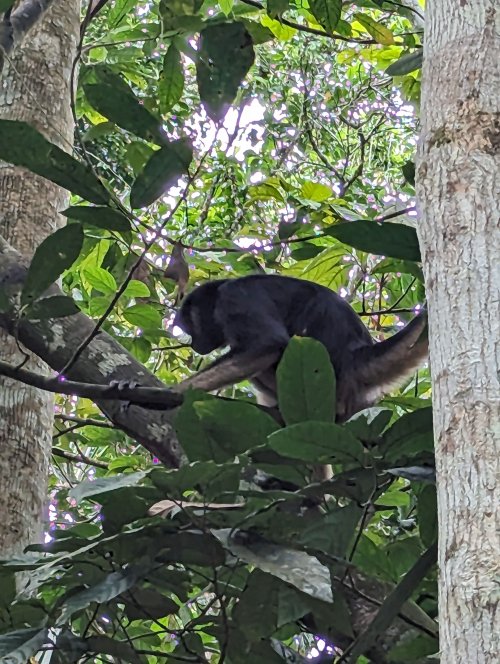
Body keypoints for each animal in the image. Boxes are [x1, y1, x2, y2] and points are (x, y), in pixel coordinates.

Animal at [172, 274, 428, 423]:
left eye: (191, 328)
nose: (194, 344)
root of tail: (357, 356)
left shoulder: (234, 298)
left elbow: (269, 345)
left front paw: (177, 391)